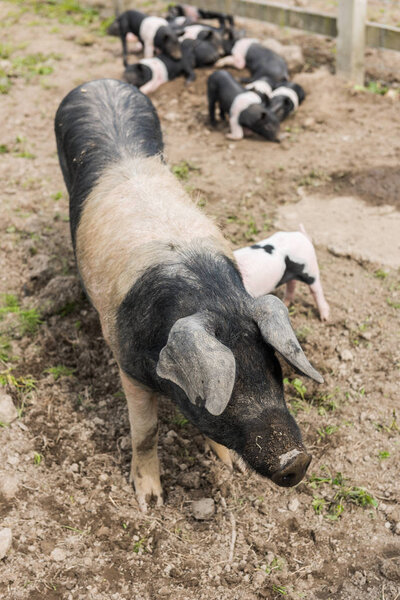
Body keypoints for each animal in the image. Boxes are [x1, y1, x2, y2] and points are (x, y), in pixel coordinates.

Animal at [54, 78, 324, 510]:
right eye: (228, 386)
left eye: (273, 368)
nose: (296, 460)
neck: (209, 296)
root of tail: (101, 82)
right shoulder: (127, 364)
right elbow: (145, 430)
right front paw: (150, 501)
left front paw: (228, 466)